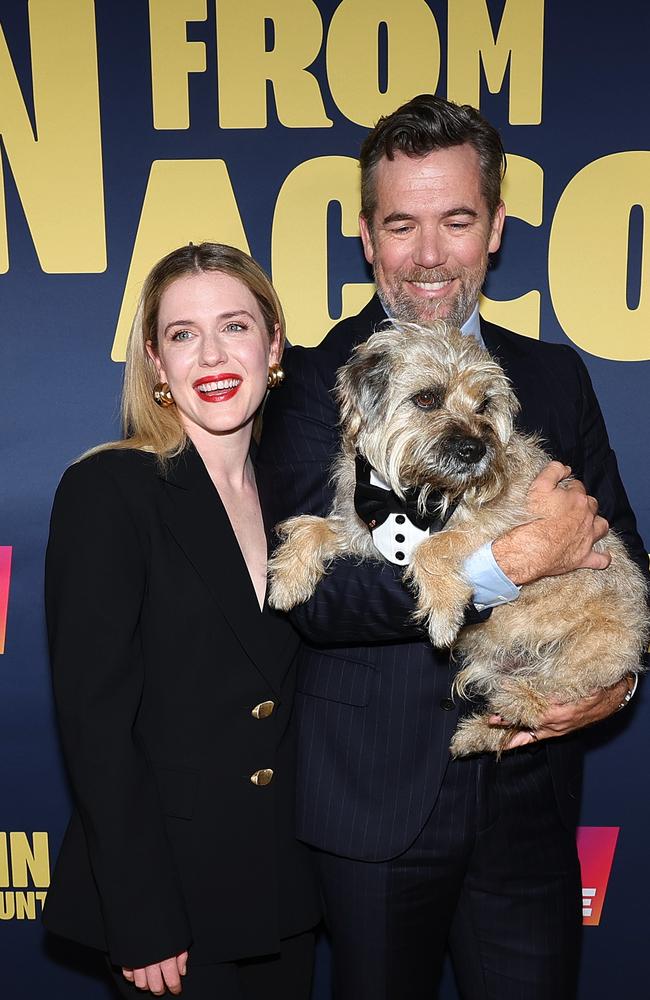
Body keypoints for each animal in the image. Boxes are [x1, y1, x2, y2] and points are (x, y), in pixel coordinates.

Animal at [266, 324, 644, 752]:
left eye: (484, 404)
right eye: (427, 398)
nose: (475, 449)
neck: (419, 491)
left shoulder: (510, 521)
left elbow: (432, 547)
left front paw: (444, 616)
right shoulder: (371, 531)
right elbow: (315, 526)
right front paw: (288, 579)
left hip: (591, 649)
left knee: (545, 697)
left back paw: (514, 699)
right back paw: (474, 734)